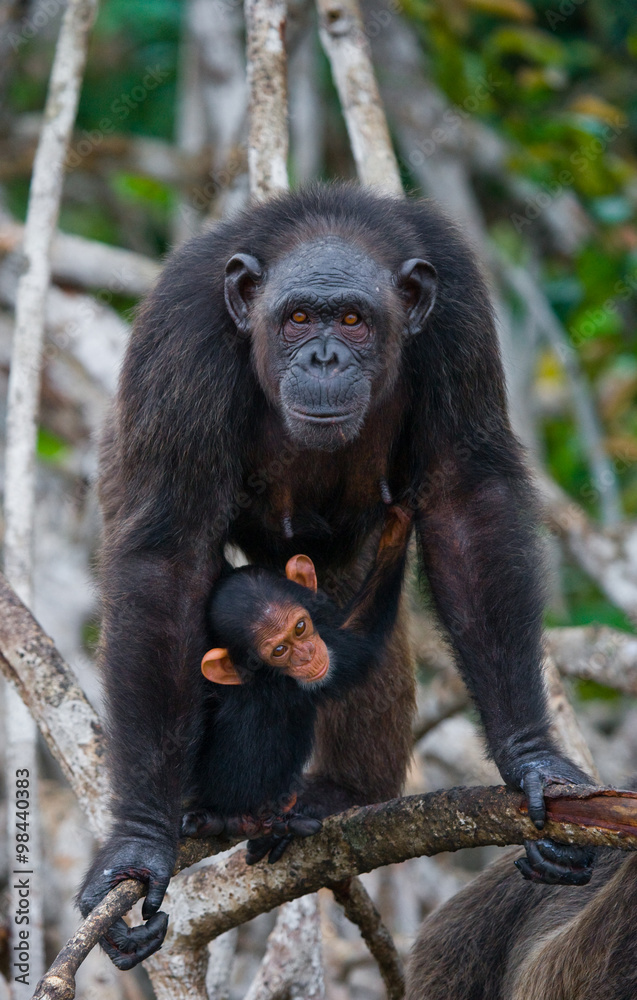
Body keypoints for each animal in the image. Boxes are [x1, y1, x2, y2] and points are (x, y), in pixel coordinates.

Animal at [181, 505, 412, 864]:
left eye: (300, 628)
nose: (306, 655)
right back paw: (228, 818)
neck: (272, 680)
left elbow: (355, 642)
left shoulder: (327, 639)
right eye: (279, 650)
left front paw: (394, 534)